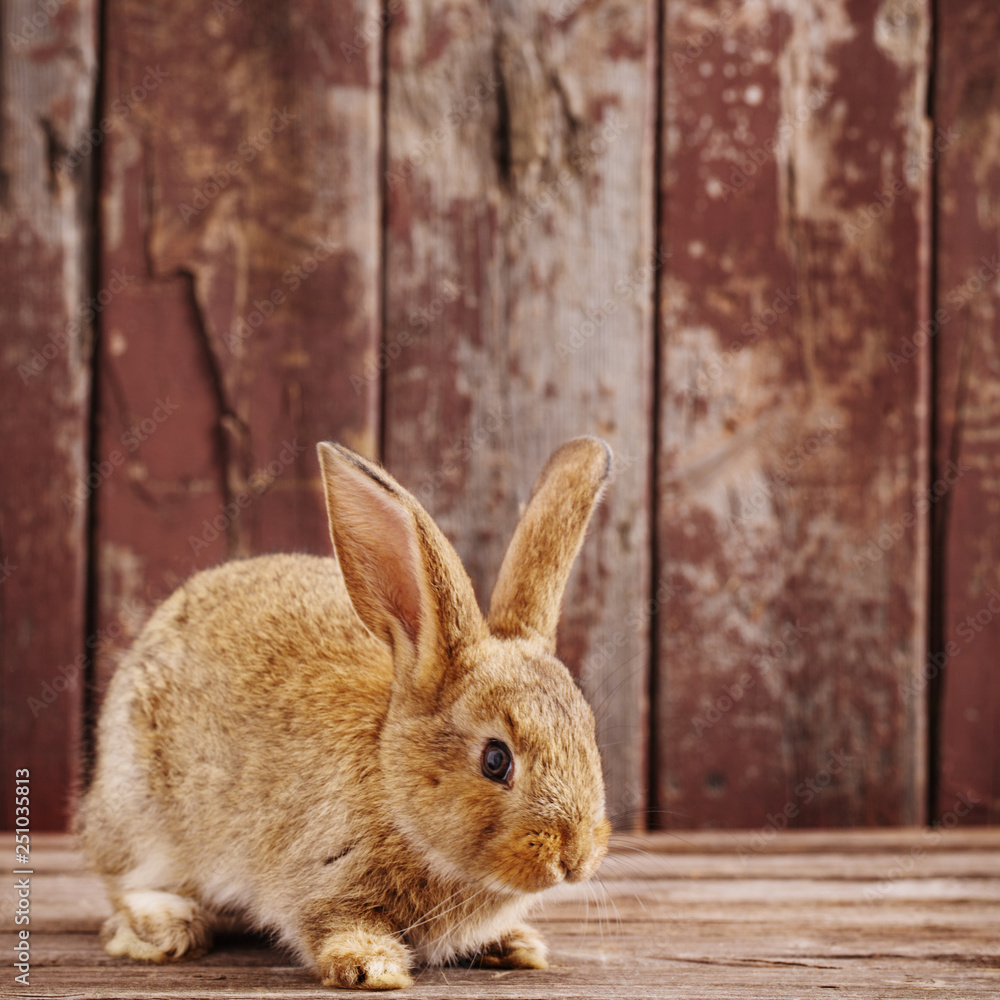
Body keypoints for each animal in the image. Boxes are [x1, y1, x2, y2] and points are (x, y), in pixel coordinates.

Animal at [80, 437, 613, 990]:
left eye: (589, 735)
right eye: (496, 760)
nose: (574, 858)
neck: (394, 787)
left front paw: (516, 945)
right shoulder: (322, 877)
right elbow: (336, 922)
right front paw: (374, 967)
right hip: (141, 812)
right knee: (124, 882)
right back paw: (169, 924)